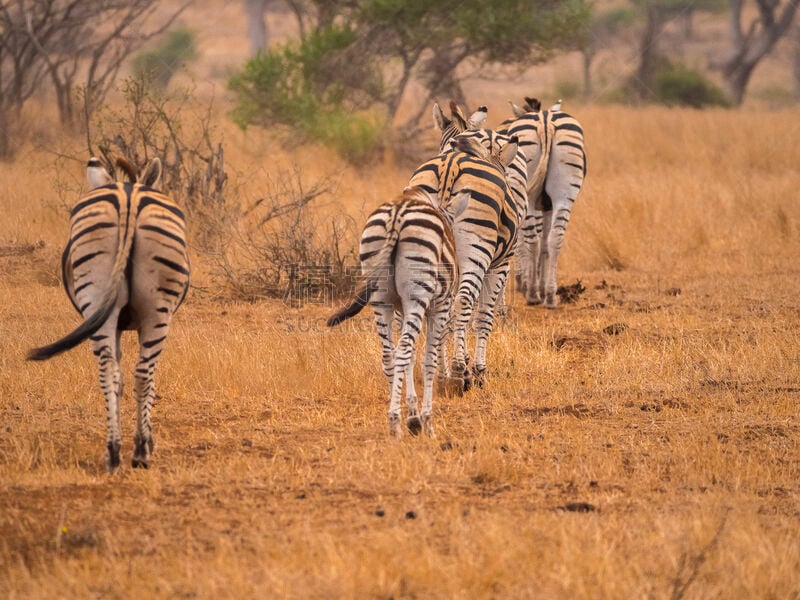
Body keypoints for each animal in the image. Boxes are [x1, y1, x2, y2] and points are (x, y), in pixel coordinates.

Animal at [27, 156, 191, 474]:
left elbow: (119, 376)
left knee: (110, 370)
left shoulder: (112, 322)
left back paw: (115, 452)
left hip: (97, 296)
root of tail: (129, 196)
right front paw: (148, 439)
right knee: (142, 373)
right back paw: (139, 451)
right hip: (156, 309)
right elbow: (140, 380)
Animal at [326, 185, 468, 438]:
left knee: (388, 354)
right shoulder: (439, 307)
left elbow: (410, 359)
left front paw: (412, 417)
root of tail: (397, 214)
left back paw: (396, 420)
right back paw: (395, 422)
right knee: (402, 351)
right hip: (417, 294)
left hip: (380, 298)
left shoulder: (401, 309)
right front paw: (426, 422)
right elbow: (428, 360)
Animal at [410, 128, 520, 392]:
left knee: (434, 307)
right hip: (476, 250)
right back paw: (460, 372)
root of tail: (449, 166)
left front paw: (452, 366)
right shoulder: (500, 264)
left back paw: (442, 375)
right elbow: (484, 316)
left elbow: (449, 317)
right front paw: (477, 369)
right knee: (463, 301)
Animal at [500, 96, 588, 310]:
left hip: (529, 196)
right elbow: (546, 245)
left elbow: (524, 243)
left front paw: (524, 282)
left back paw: (532, 293)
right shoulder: (547, 206)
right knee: (555, 239)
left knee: (532, 240)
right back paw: (549, 296)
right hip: (564, 193)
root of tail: (544, 120)